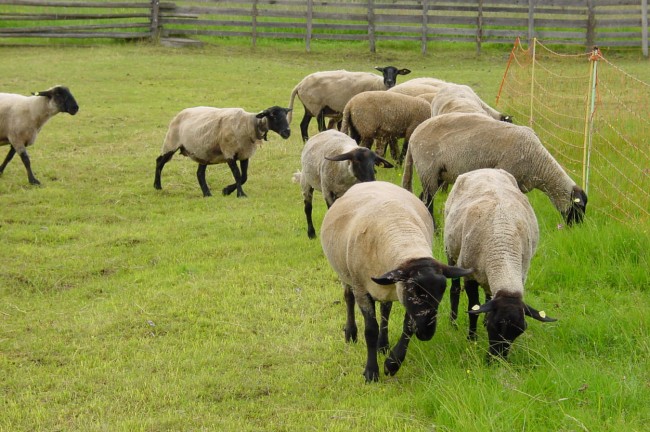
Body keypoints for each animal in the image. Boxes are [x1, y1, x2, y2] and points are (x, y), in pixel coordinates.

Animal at [154, 105, 291, 197]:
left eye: (285, 115)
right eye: (273, 115)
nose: (287, 132)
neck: (248, 124)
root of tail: (180, 113)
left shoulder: (244, 153)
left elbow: (244, 176)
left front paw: (227, 190)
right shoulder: (229, 152)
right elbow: (237, 174)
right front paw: (240, 194)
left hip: (203, 152)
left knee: (200, 173)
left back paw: (207, 193)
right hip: (171, 142)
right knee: (159, 161)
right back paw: (157, 186)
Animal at [320, 180, 473, 382]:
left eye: (442, 292)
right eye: (414, 291)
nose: (426, 334)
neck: (403, 237)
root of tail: (370, 181)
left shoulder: (401, 291)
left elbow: (407, 327)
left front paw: (392, 364)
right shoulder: (362, 289)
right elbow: (370, 330)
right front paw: (371, 372)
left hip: (387, 287)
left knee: (385, 310)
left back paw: (383, 345)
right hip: (346, 274)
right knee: (348, 298)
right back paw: (351, 334)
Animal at [402, 112, 588, 230]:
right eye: (578, 208)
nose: (577, 228)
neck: (539, 165)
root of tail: (414, 136)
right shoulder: (507, 170)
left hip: (437, 174)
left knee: (423, 198)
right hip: (428, 169)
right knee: (428, 200)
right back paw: (436, 230)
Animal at [444, 168, 557, 358]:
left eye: (519, 331)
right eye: (494, 327)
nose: (496, 360)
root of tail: (485, 169)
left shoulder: (521, 273)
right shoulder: (470, 275)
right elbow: (472, 309)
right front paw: (471, 339)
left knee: (488, 293)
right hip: (451, 252)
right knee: (455, 288)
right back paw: (452, 322)